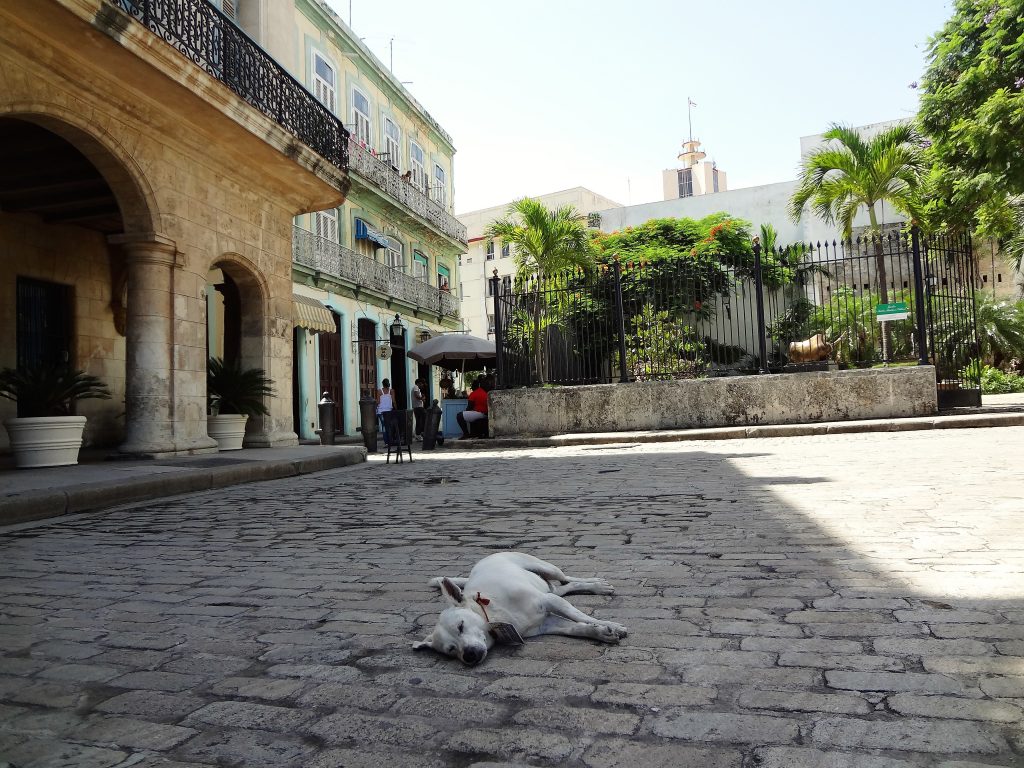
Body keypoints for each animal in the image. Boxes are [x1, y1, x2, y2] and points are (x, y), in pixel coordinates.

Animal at [409, 552, 622, 667]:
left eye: (461, 626)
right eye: (451, 650)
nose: (468, 656)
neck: (495, 613)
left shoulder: (549, 601)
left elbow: (580, 615)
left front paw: (609, 624)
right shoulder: (548, 623)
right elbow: (576, 628)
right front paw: (601, 632)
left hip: (547, 568)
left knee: (567, 578)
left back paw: (597, 585)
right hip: (551, 587)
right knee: (564, 587)